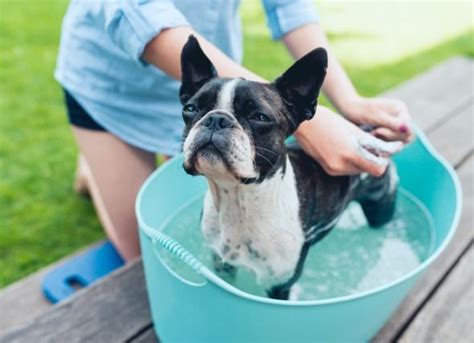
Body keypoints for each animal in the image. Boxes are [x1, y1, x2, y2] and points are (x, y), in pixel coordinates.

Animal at [180, 35, 402, 300]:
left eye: (259, 117)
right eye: (190, 109)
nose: (216, 119)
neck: (238, 200)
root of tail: (366, 131)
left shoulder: (279, 285)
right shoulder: (222, 264)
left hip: (381, 205)